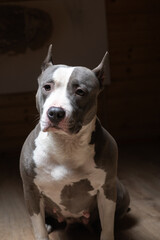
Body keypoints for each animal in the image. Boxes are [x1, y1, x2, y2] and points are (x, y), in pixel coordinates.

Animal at [20, 45, 130, 240]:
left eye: (80, 91)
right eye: (47, 87)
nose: (55, 112)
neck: (66, 145)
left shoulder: (107, 190)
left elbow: (107, 226)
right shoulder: (30, 190)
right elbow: (39, 228)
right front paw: (43, 228)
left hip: (120, 191)